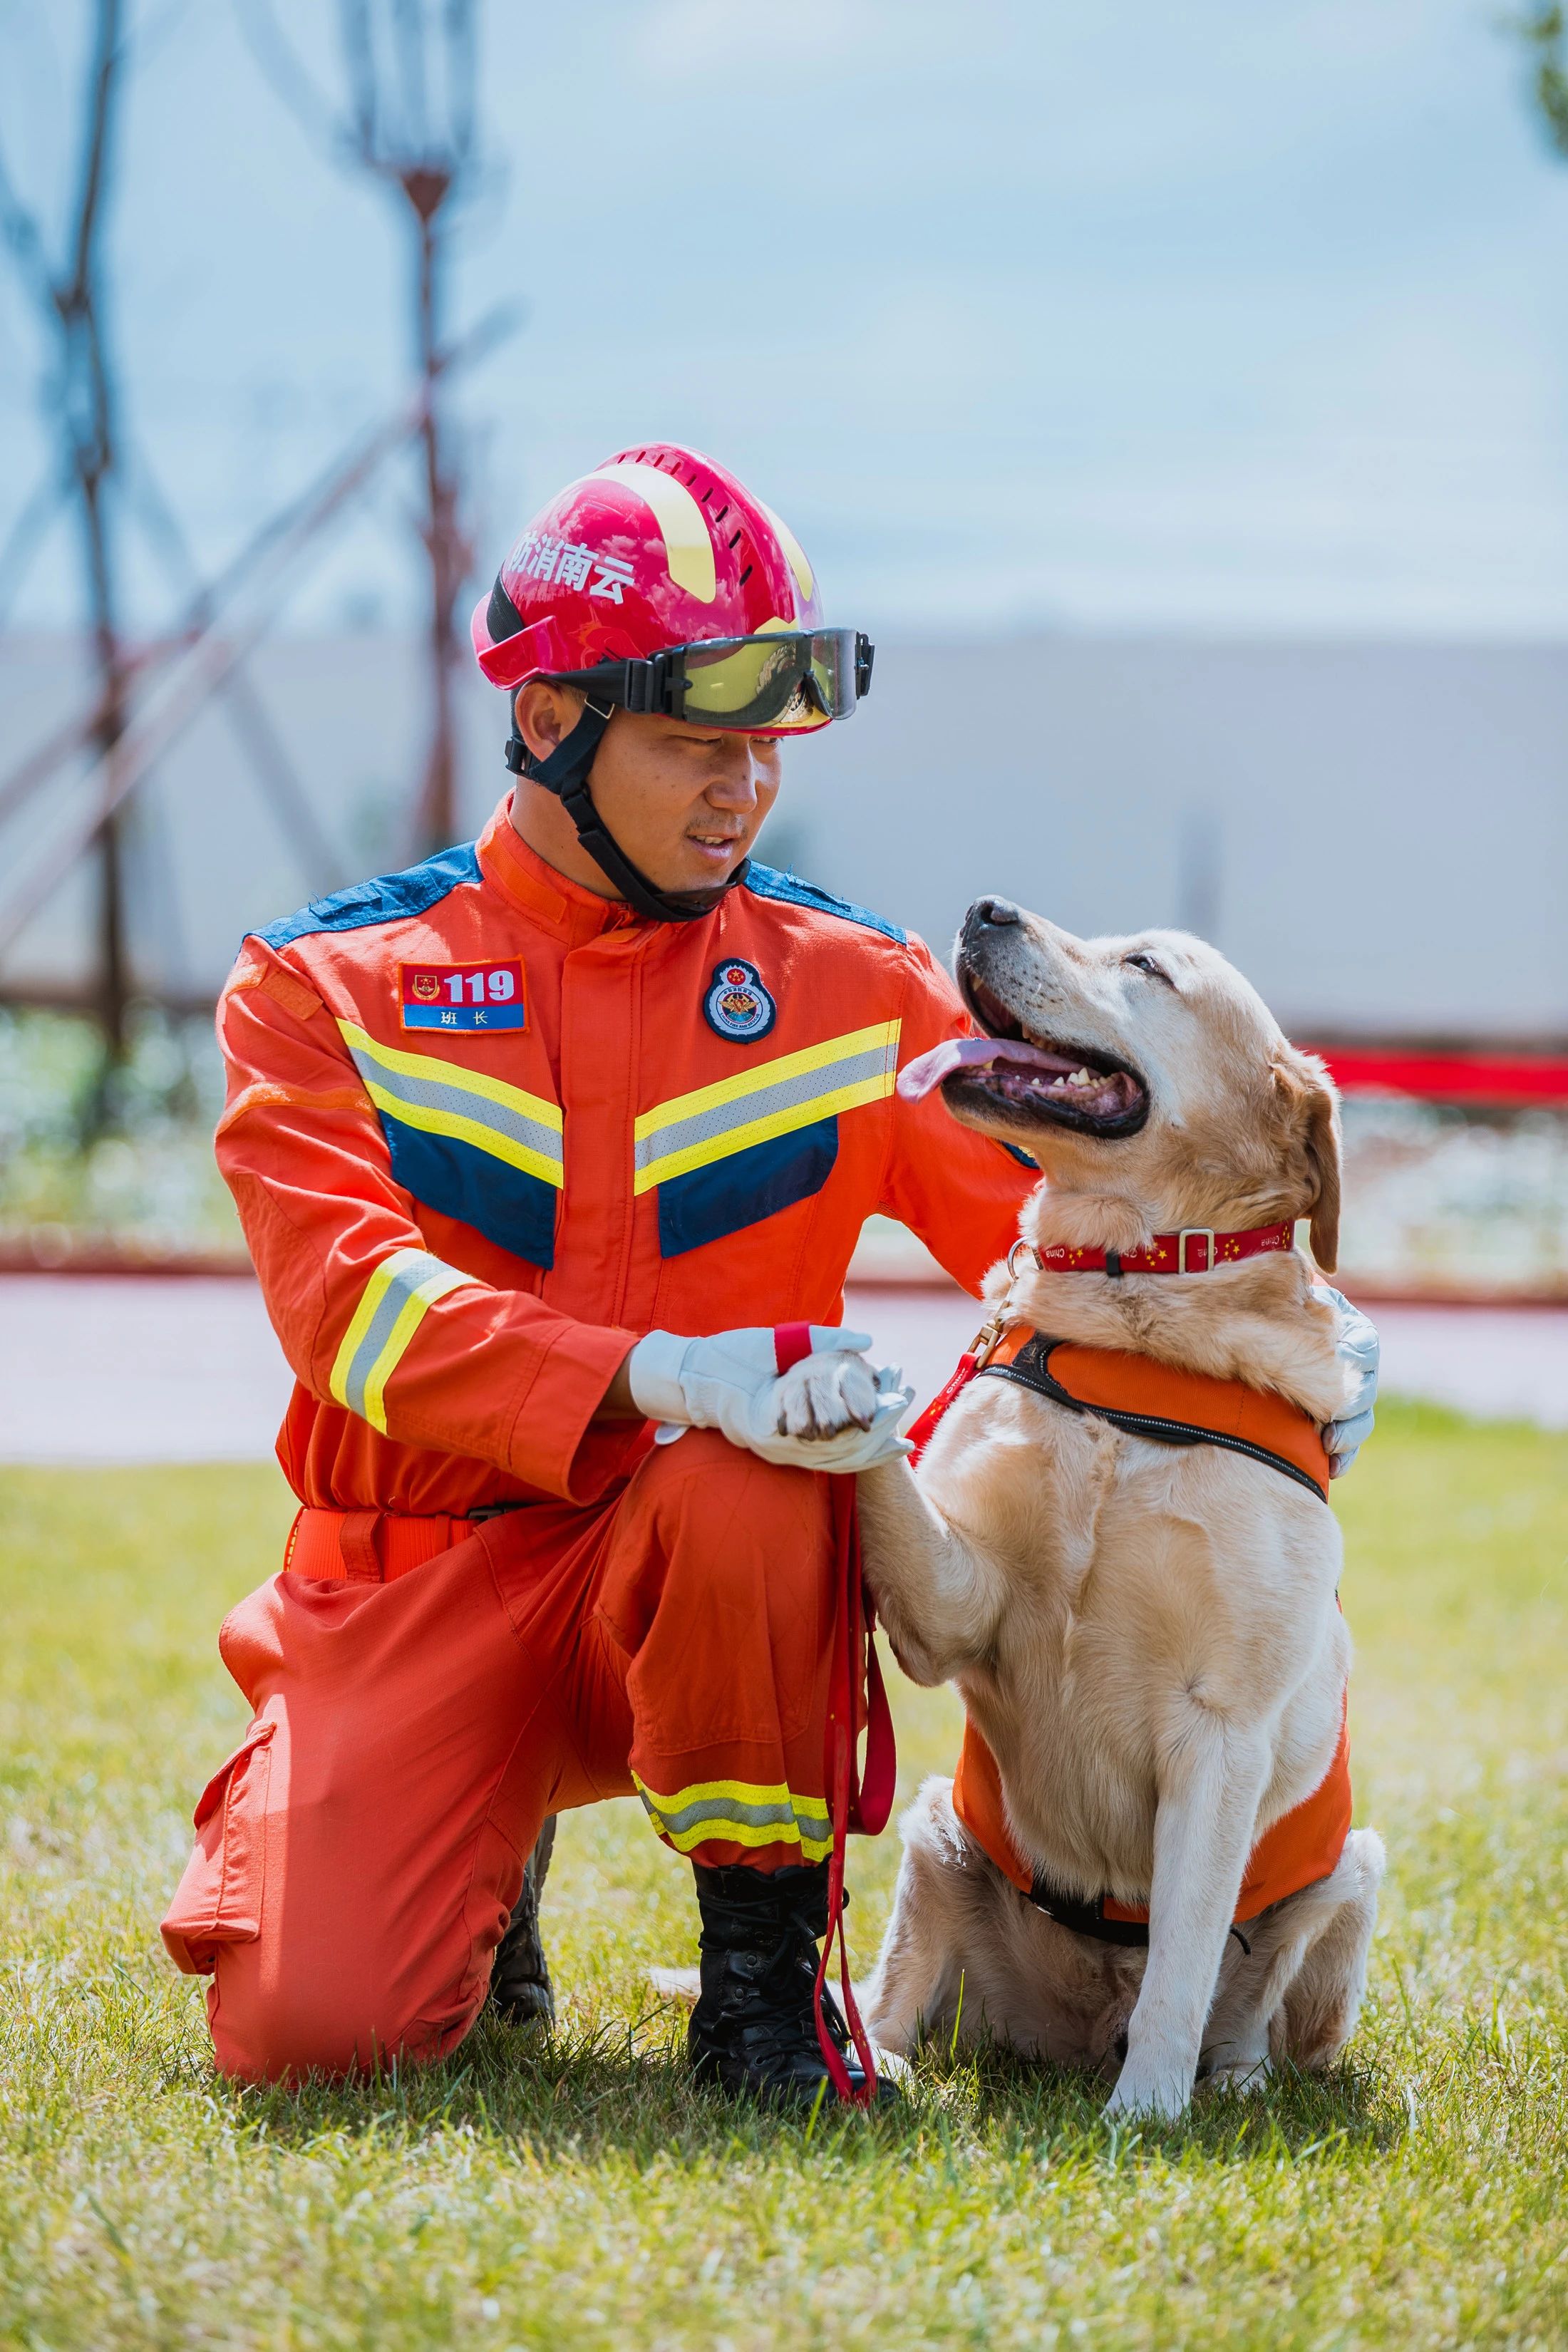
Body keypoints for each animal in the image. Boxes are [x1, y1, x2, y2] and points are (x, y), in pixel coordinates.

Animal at [846, 889, 1382, 2126]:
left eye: (1147, 966)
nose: (984, 905)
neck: (1128, 1316)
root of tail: (1075, 2033)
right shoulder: (955, 1607)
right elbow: (894, 1479)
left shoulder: (1222, 1727)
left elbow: (1182, 1950)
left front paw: (1147, 2114)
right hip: (937, 1825)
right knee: (891, 1987)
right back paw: (873, 2057)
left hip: (1353, 1870)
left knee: (1253, 2017)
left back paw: (1226, 2081)